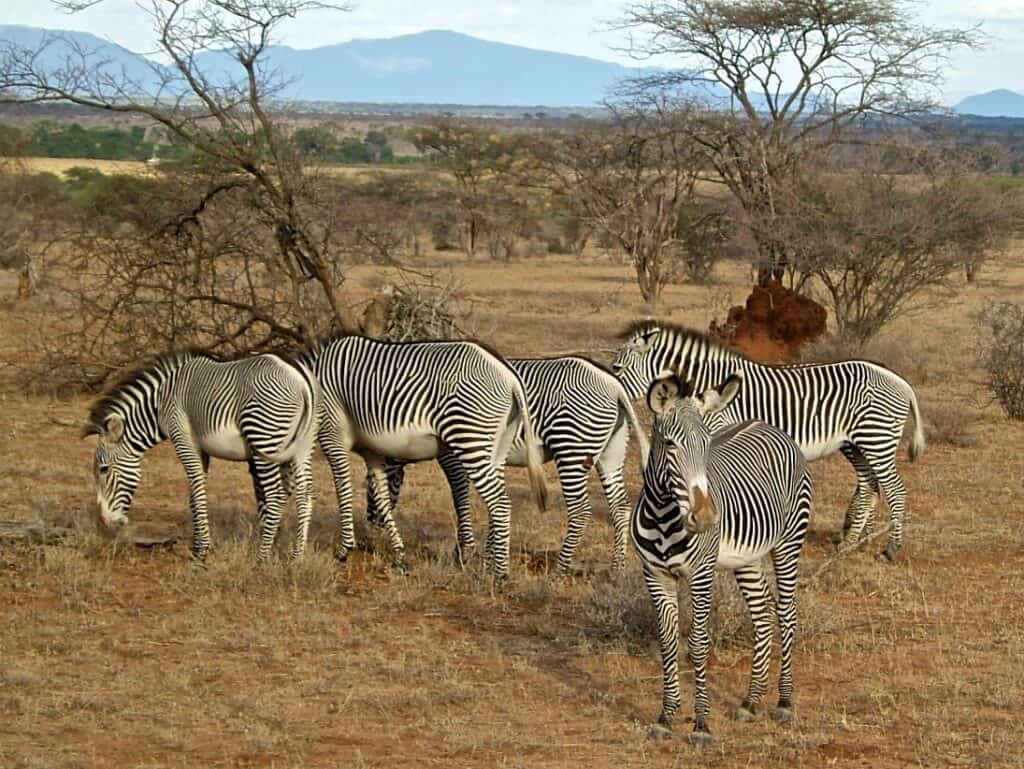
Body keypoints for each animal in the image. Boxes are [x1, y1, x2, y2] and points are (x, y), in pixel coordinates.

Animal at [83, 350, 319, 561]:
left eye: (103, 470)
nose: (105, 523)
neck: (160, 402)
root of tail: (300, 379)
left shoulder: (184, 440)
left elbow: (197, 493)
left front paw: (202, 550)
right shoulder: (202, 449)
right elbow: (194, 496)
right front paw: (197, 546)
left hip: (264, 439)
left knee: (275, 497)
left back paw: (261, 558)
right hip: (304, 445)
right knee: (305, 496)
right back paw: (297, 558)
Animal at [302, 335, 548, 579]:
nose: (365, 541)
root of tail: (509, 374)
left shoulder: (333, 435)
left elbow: (342, 488)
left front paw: (345, 550)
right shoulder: (374, 452)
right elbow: (382, 496)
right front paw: (399, 555)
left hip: (469, 436)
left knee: (500, 502)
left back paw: (500, 573)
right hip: (498, 445)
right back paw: (489, 565)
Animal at [367, 356, 650, 574]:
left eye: (370, 488)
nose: (371, 530)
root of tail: (614, 385)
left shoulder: (456, 455)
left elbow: (461, 498)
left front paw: (465, 553)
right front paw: (490, 556)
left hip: (571, 448)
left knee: (581, 510)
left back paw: (560, 569)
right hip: (610, 452)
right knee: (620, 507)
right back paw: (617, 568)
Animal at [613, 321, 924, 561]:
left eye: (616, 368)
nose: (615, 397)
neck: (705, 384)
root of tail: (900, 380)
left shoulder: (719, 432)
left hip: (876, 439)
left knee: (895, 490)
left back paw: (891, 549)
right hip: (857, 444)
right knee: (870, 486)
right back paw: (851, 542)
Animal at [635, 374, 812, 745]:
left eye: (706, 444)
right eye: (670, 445)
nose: (705, 518)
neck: (663, 515)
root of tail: (769, 425)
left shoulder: (702, 573)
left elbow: (698, 645)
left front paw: (701, 725)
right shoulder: (655, 575)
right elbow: (668, 643)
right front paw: (665, 718)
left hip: (789, 542)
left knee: (787, 614)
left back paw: (784, 702)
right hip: (747, 558)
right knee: (762, 615)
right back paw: (750, 702)